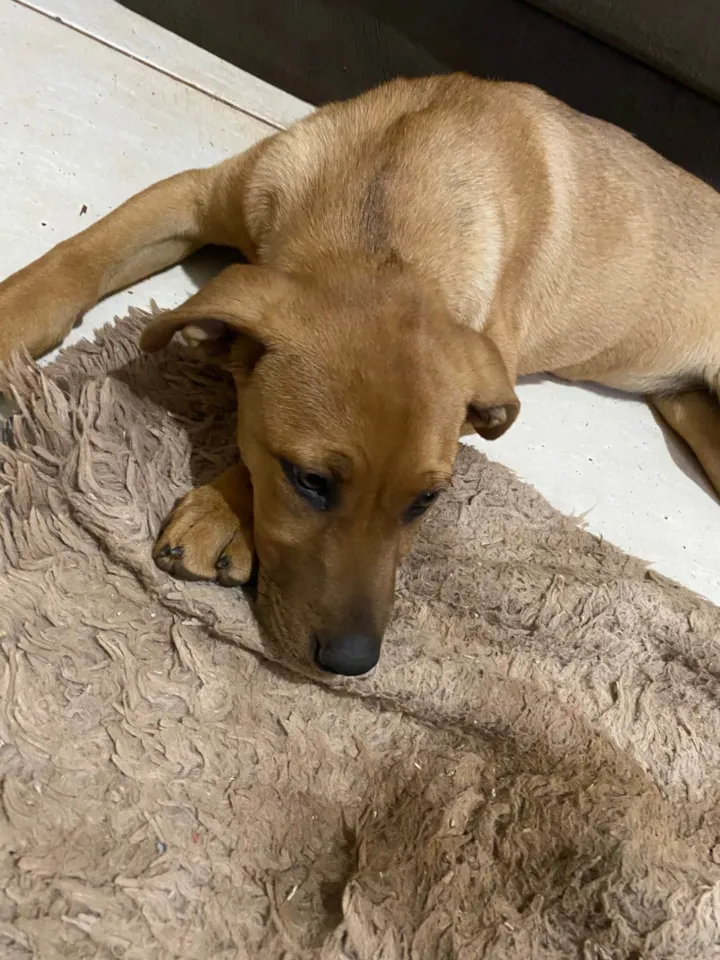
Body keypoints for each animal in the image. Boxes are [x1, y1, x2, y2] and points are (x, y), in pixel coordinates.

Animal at [0, 74, 718, 676]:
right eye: (311, 482)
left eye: (426, 501)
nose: (352, 664)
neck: (383, 214)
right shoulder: (197, 191)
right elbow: (76, 256)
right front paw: (12, 320)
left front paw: (223, 510)